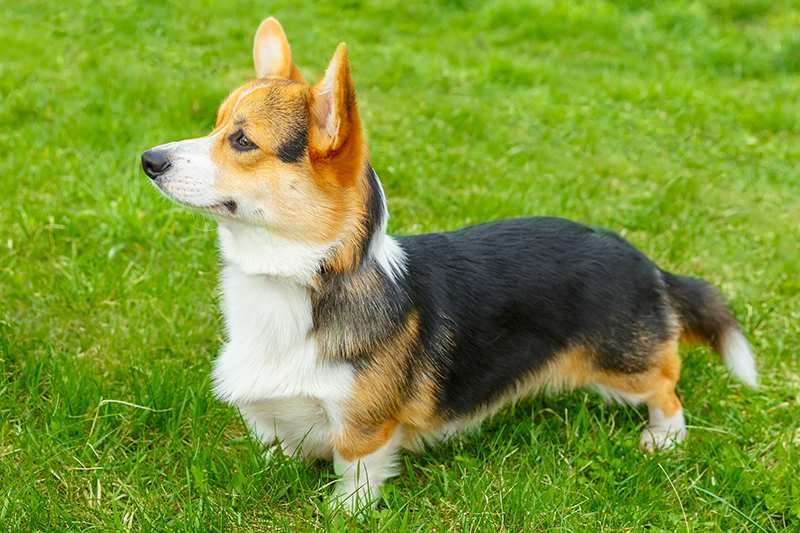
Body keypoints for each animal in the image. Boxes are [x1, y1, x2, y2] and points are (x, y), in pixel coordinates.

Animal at [141, 18, 760, 512]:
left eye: (243, 141)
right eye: (215, 123)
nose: (148, 160)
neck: (303, 278)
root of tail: (640, 257)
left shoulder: (364, 427)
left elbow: (355, 472)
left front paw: (345, 513)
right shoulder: (271, 418)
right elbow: (275, 448)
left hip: (622, 367)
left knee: (666, 385)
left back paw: (665, 441)